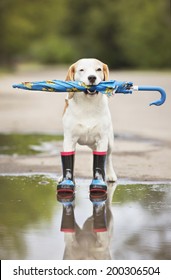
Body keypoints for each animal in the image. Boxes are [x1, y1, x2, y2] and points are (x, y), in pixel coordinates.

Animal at [58, 58, 117, 194]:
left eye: (98, 69)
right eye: (81, 70)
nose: (92, 77)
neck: (88, 103)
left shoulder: (102, 139)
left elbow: (101, 160)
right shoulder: (69, 140)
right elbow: (69, 160)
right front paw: (67, 180)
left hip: (109, 141)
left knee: (108, 158)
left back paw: (110, 175)